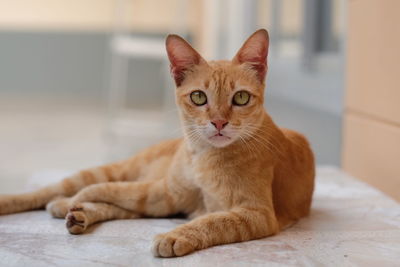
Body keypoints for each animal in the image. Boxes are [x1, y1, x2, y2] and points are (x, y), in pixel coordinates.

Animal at [0, 28, 316, 258]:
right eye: (199, 97)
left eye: (240, 98)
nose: (218, 122)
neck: (202, 156)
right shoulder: (167, 192)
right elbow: (109, 189)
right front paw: (74, 200)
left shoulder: (255, 214)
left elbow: (213, 221)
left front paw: (174, 236)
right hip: (118, 172)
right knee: (54, 189)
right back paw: (48, 203)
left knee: (116, 207)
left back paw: (77, 215)